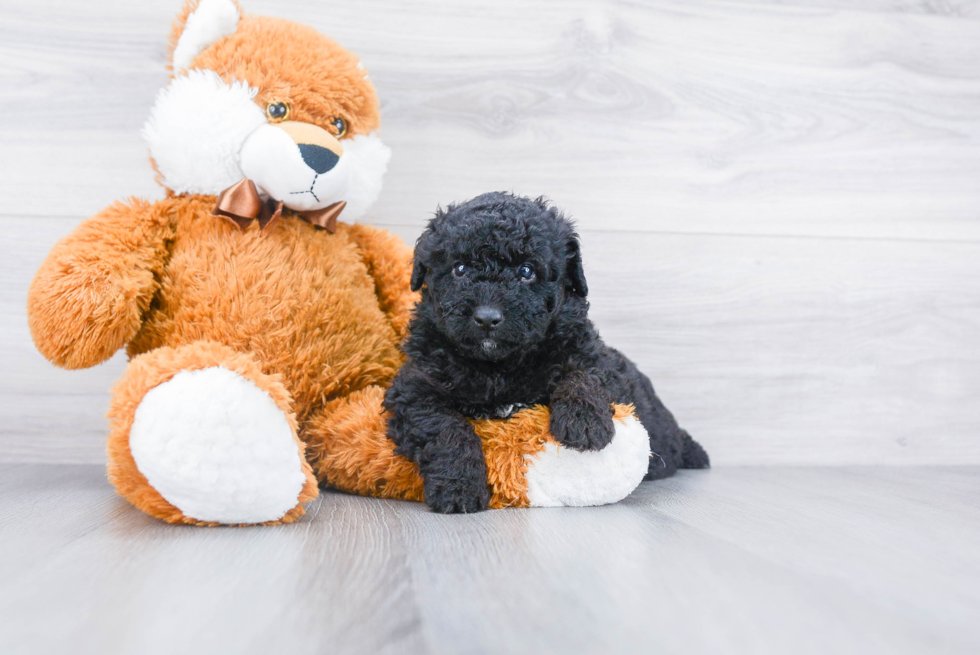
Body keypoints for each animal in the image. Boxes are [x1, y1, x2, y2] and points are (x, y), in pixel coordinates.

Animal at [378, 192, 708, 516]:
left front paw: (583, 422)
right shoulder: (415, 387)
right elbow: (446, 427)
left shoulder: (597, 361)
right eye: (459, 269)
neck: (498, 366)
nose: (487, 318)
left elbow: (584, 376)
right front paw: (459, 487)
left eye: (527, 271)